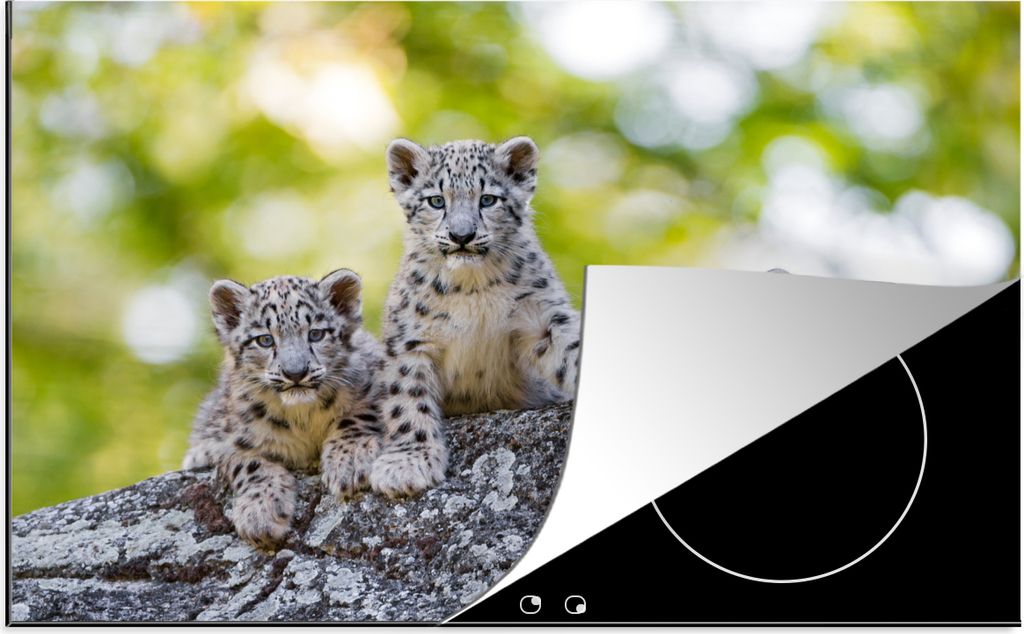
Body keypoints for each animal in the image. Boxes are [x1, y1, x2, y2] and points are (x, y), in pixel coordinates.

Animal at [183, 270, 386, 548]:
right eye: (265, 340)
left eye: (316, 334)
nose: (295, 372)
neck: (303, 417)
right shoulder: (227, 440)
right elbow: (246, 461)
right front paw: (260, 514)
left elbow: (359, 413)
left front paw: (351, 460)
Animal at [368, 136, 581, 498]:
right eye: (436, 200)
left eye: (488, 199)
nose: (462, 235)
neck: (472, 287)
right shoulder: (410, 339)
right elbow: (407, 397)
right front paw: (407, 465)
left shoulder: (543, 317)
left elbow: (574, 348)